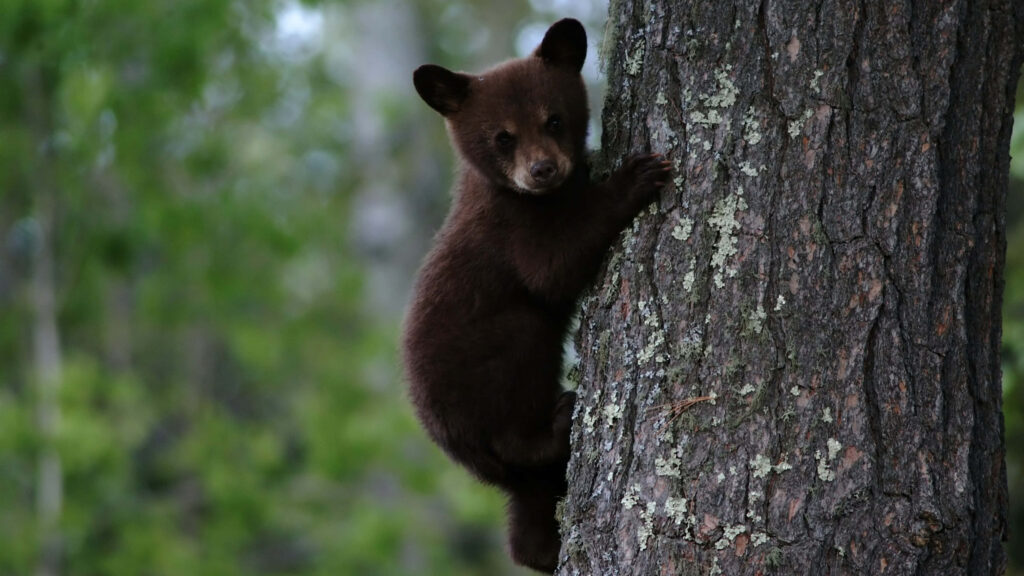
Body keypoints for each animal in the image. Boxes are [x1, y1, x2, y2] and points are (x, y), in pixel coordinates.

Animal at [401, 18, 670, 573]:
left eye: (554, 120)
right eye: (502, 137)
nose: (542, 170)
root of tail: (460, 450)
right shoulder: (511, 230)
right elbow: (553, 269)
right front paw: (635, 176)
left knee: (529, 509)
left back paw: (541, 548)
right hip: (490, 370)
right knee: (519, 400)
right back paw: (559, 419)